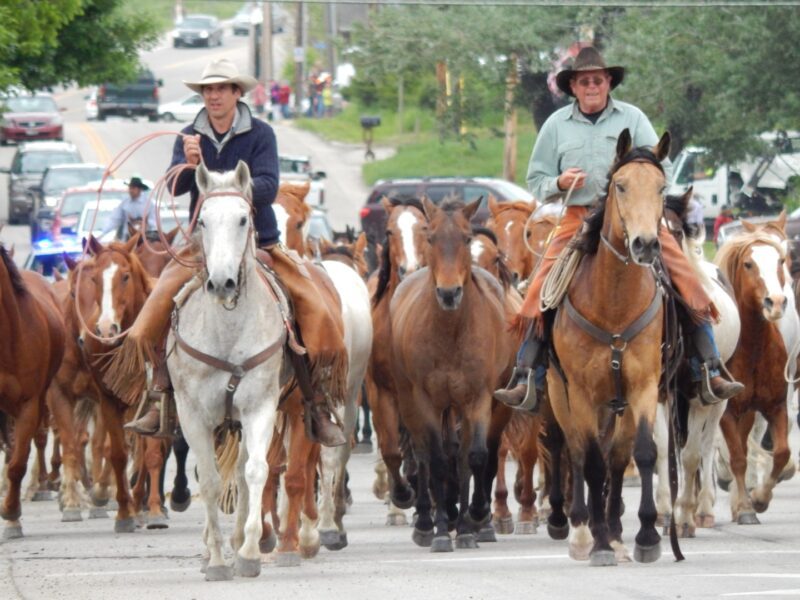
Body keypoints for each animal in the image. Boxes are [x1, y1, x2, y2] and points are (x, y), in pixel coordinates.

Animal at [390, 197, 517, 551]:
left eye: (466, 237)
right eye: (431, 237)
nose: (449, 293)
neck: (450, 332)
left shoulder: (478, 398)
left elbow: (473, 457)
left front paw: (471, 523)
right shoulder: (426, 400)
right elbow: (436, 459)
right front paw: (441, 532)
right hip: (412, 400)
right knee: (424, 454)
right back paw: (426, 522)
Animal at [545, 130, 671, 566]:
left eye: (662, 188)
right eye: (621, 186)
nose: (646, 244)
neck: (613, 305)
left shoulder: (644, 387)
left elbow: (642, 453)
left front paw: (646, 535)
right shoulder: (581, 392)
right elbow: (591, 463)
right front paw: (597, 540)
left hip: (618, 405)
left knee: (616, 456)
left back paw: (615, 529)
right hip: (561, 394)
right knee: (577, 451)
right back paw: (582, 529)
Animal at [715, 229, 794, 524]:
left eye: (780, 261)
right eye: (749, 264)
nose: (776, 302)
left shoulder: (776, 406)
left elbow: (781, 453)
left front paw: (759, 499)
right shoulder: (726, 412)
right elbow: (737, 457)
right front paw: (746, 508)